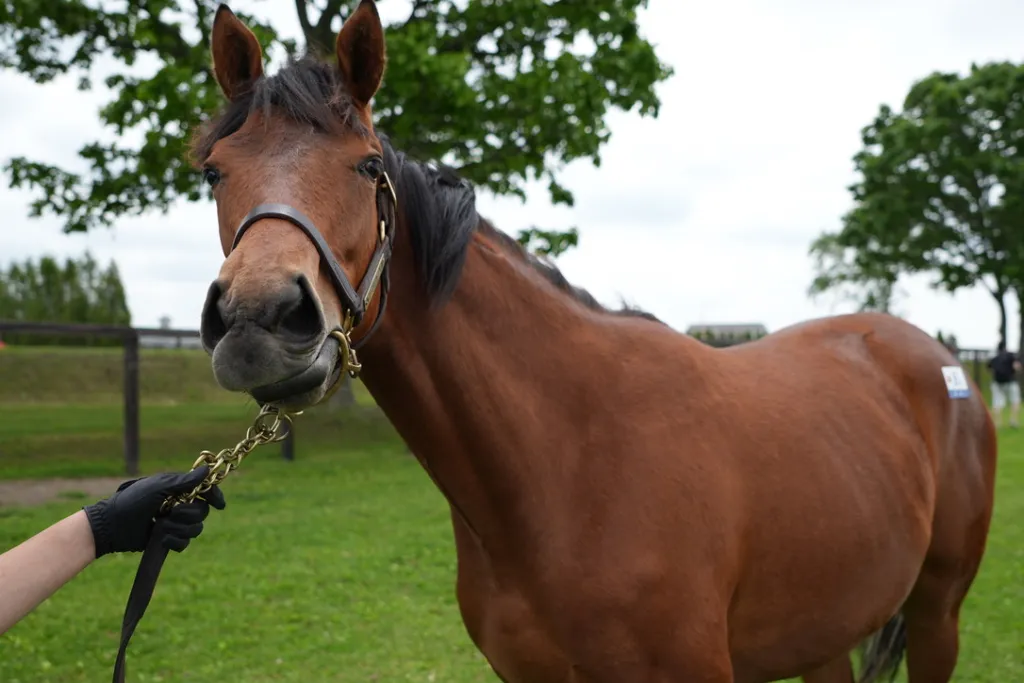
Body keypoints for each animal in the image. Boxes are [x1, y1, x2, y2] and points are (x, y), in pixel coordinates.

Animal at [193, 3, 998, 681]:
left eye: (366, 166)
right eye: (213, 173)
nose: (260, 318)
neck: (566, 465)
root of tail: (934, 356)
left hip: (938, 616)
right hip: (827, 629)